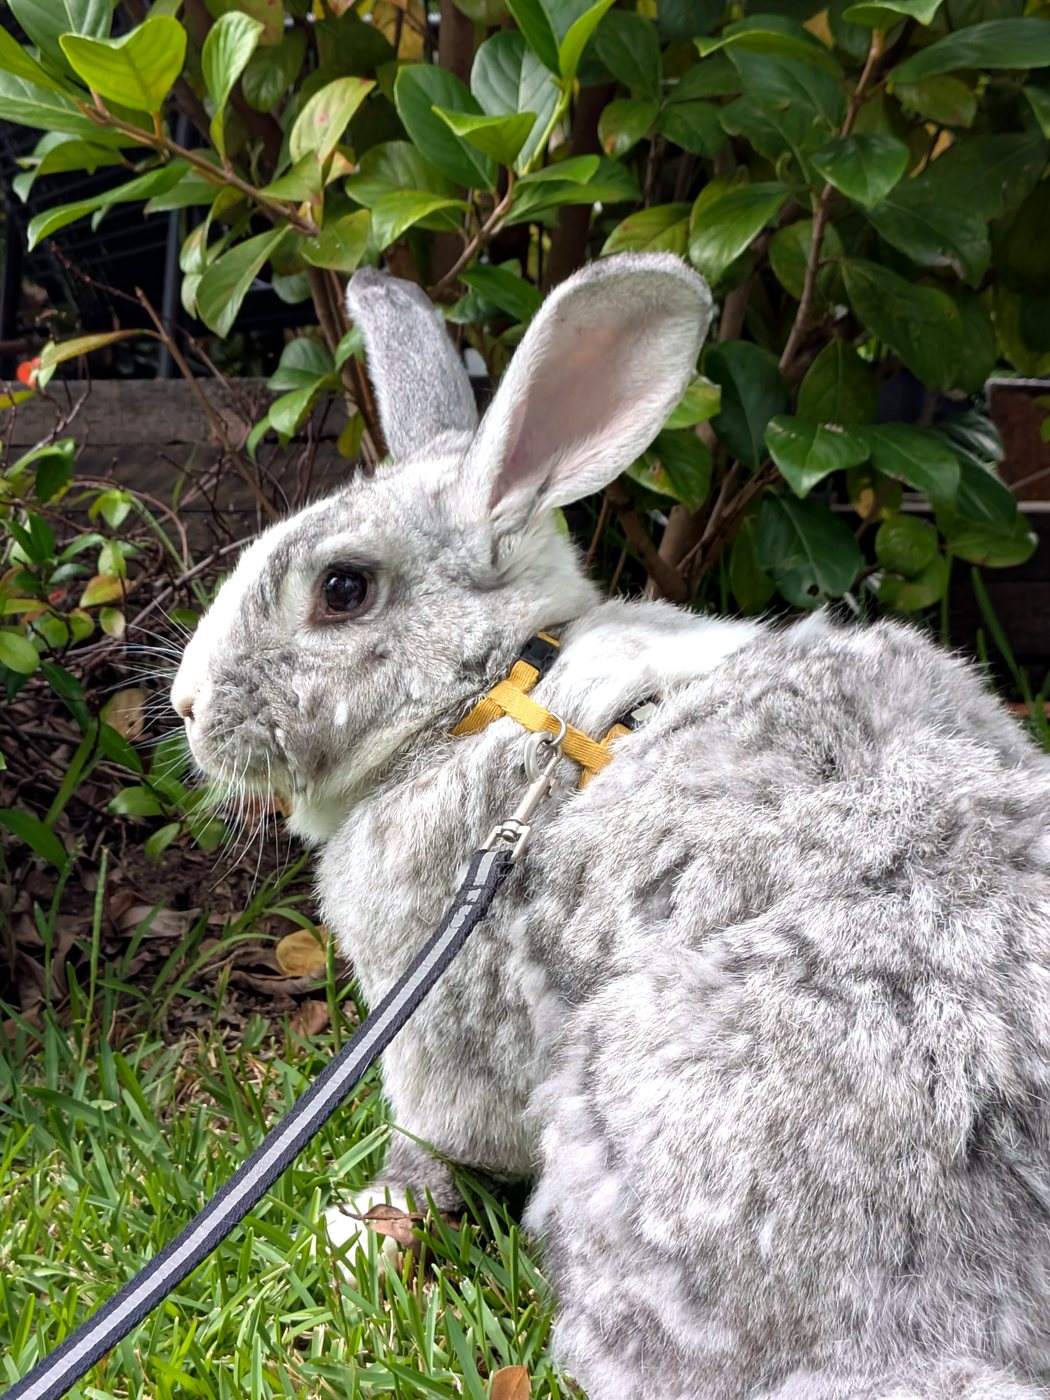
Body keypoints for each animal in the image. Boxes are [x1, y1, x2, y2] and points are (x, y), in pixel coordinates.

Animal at [171, 252, 1050, 1400]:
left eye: (343, 589)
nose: (185, 706)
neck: (491, 690)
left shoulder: (436, 1015)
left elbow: (432, 1144)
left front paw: (364, 1224)